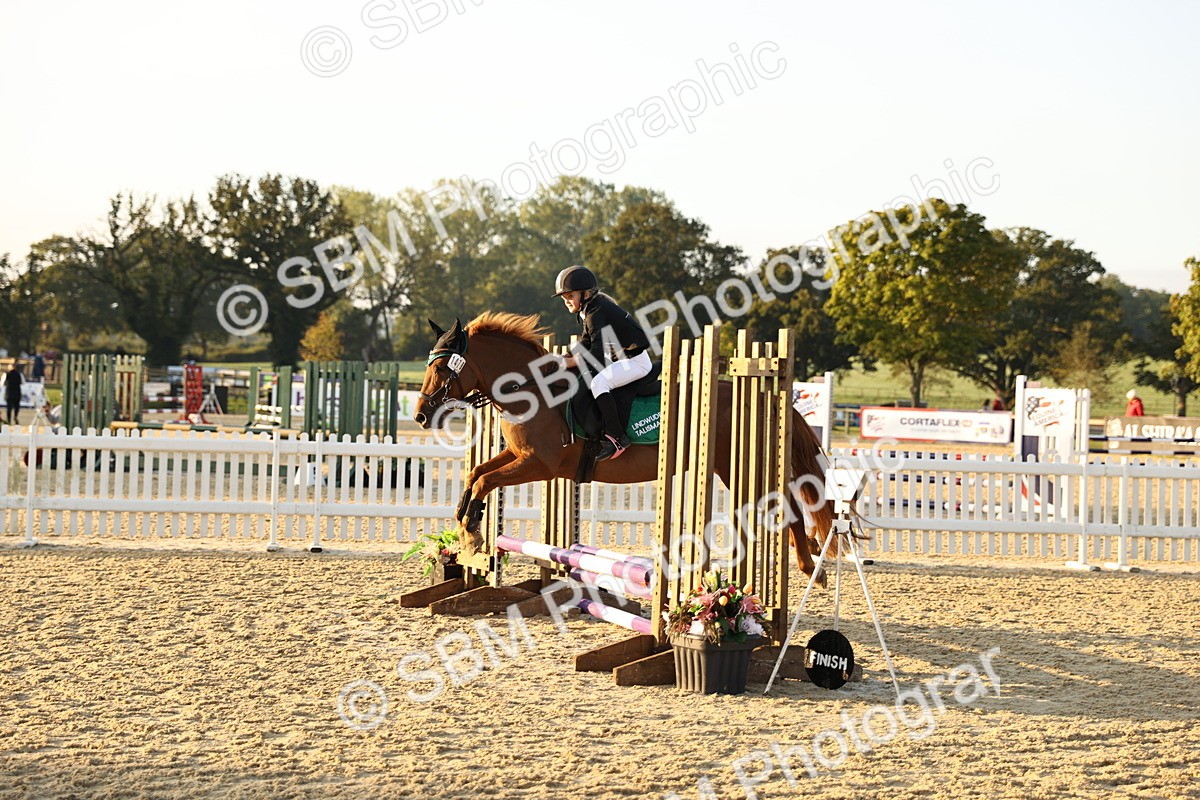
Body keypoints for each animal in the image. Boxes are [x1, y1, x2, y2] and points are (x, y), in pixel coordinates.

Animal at [413, 312, 837, 586]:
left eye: (442, 369)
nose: (420, 415)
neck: (532, 391)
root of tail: (765, 393)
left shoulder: (539, 465)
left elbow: (486, 481)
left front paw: (471, 533)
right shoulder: (520, 456)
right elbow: (476, 474)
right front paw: (467, 523)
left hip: (736, 464)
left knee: (789, 505)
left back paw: (808, 566)